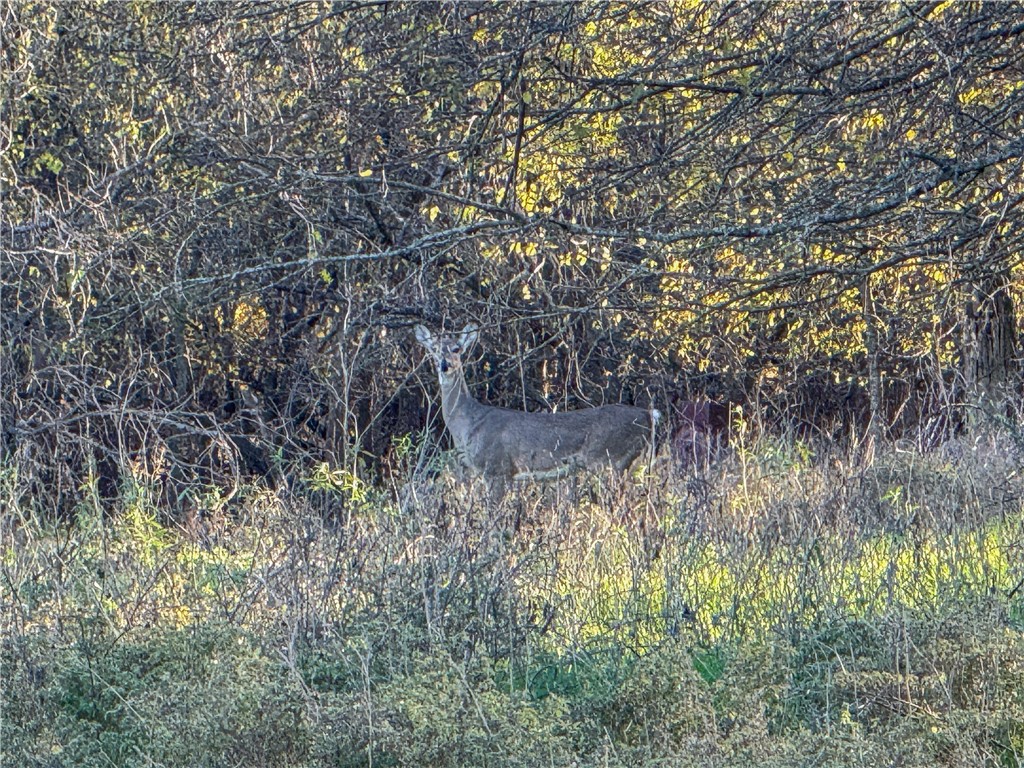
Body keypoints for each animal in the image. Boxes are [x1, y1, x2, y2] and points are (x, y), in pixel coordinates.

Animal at [415, 325, 663, 487]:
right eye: (433, 348)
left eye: (457, 348)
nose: (445, 365)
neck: (468, 423)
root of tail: (648, 414)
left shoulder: (497, 468)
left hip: (609, 460)